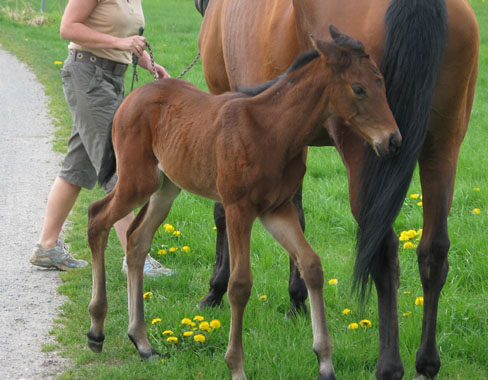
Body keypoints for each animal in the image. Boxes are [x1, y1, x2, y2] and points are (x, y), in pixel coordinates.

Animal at [86, 29, 400, 380]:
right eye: (358, 88)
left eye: (381, 83)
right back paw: (96, 330)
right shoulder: (239, 209)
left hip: (165, 187)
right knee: (97, 217)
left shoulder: (277, 210)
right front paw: (236, 366)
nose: (392, 140)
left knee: (137, 240)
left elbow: (311, 265)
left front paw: (325, 363)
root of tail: (130, 99)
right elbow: (240, 284)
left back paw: (142, 344)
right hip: (136, 181)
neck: (273, 129)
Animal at [196, 0, 478, 380]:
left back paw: (389, 365)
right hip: (443, 144)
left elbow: (224, 211)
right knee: (433, 249)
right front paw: (297, 300)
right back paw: (427, 363)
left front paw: (216, 290)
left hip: (371, 150)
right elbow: (296, 218)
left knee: (382, 249)